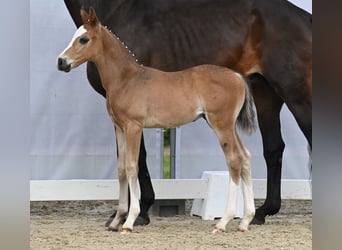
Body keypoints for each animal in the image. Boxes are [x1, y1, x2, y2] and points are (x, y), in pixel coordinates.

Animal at [64, 0, 312, 226]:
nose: (61, 62)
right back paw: (259, 213)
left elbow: (136, 160)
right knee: (270, 149)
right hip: (265, 95)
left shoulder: (133, 122)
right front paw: (123, 215)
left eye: (84, 39)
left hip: (294, 95)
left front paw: (139, 213)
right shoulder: (122, 122)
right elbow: (125, 163)